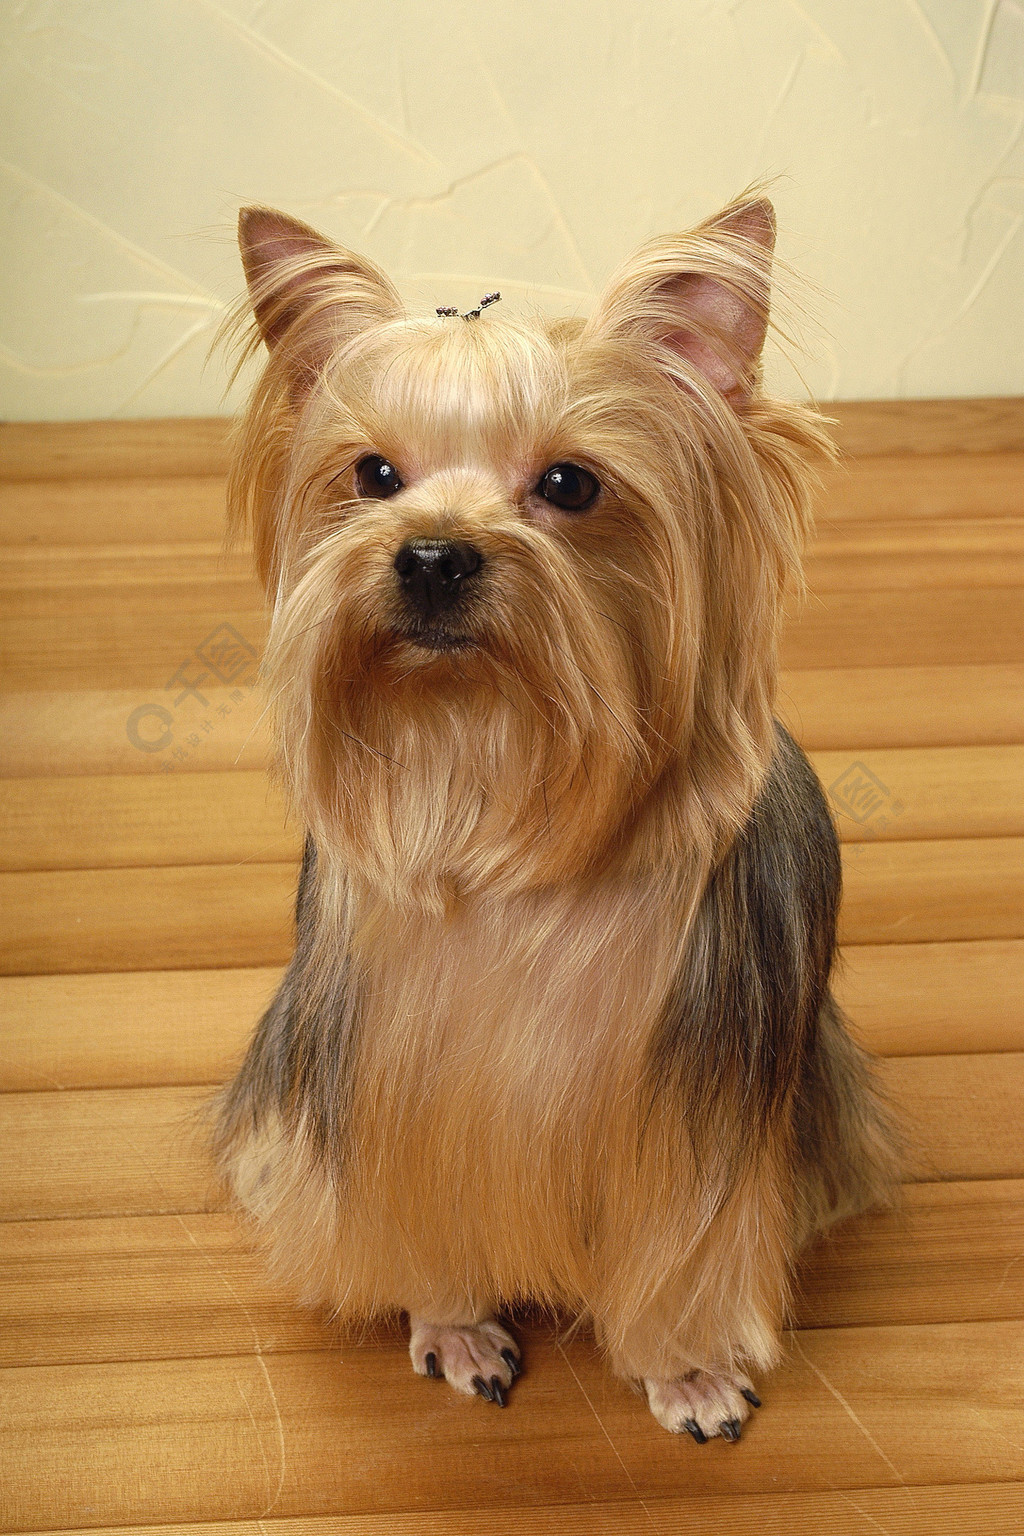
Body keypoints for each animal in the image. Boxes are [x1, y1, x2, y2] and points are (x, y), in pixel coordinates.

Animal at [214, 192, 896, 1437]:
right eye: (374, 472)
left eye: (572, 484)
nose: (432, 555)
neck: (487, 756)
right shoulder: (388, 1088)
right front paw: (454, 1325)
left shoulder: (697, 1116)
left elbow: (688, 1246)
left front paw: (687, 1371)